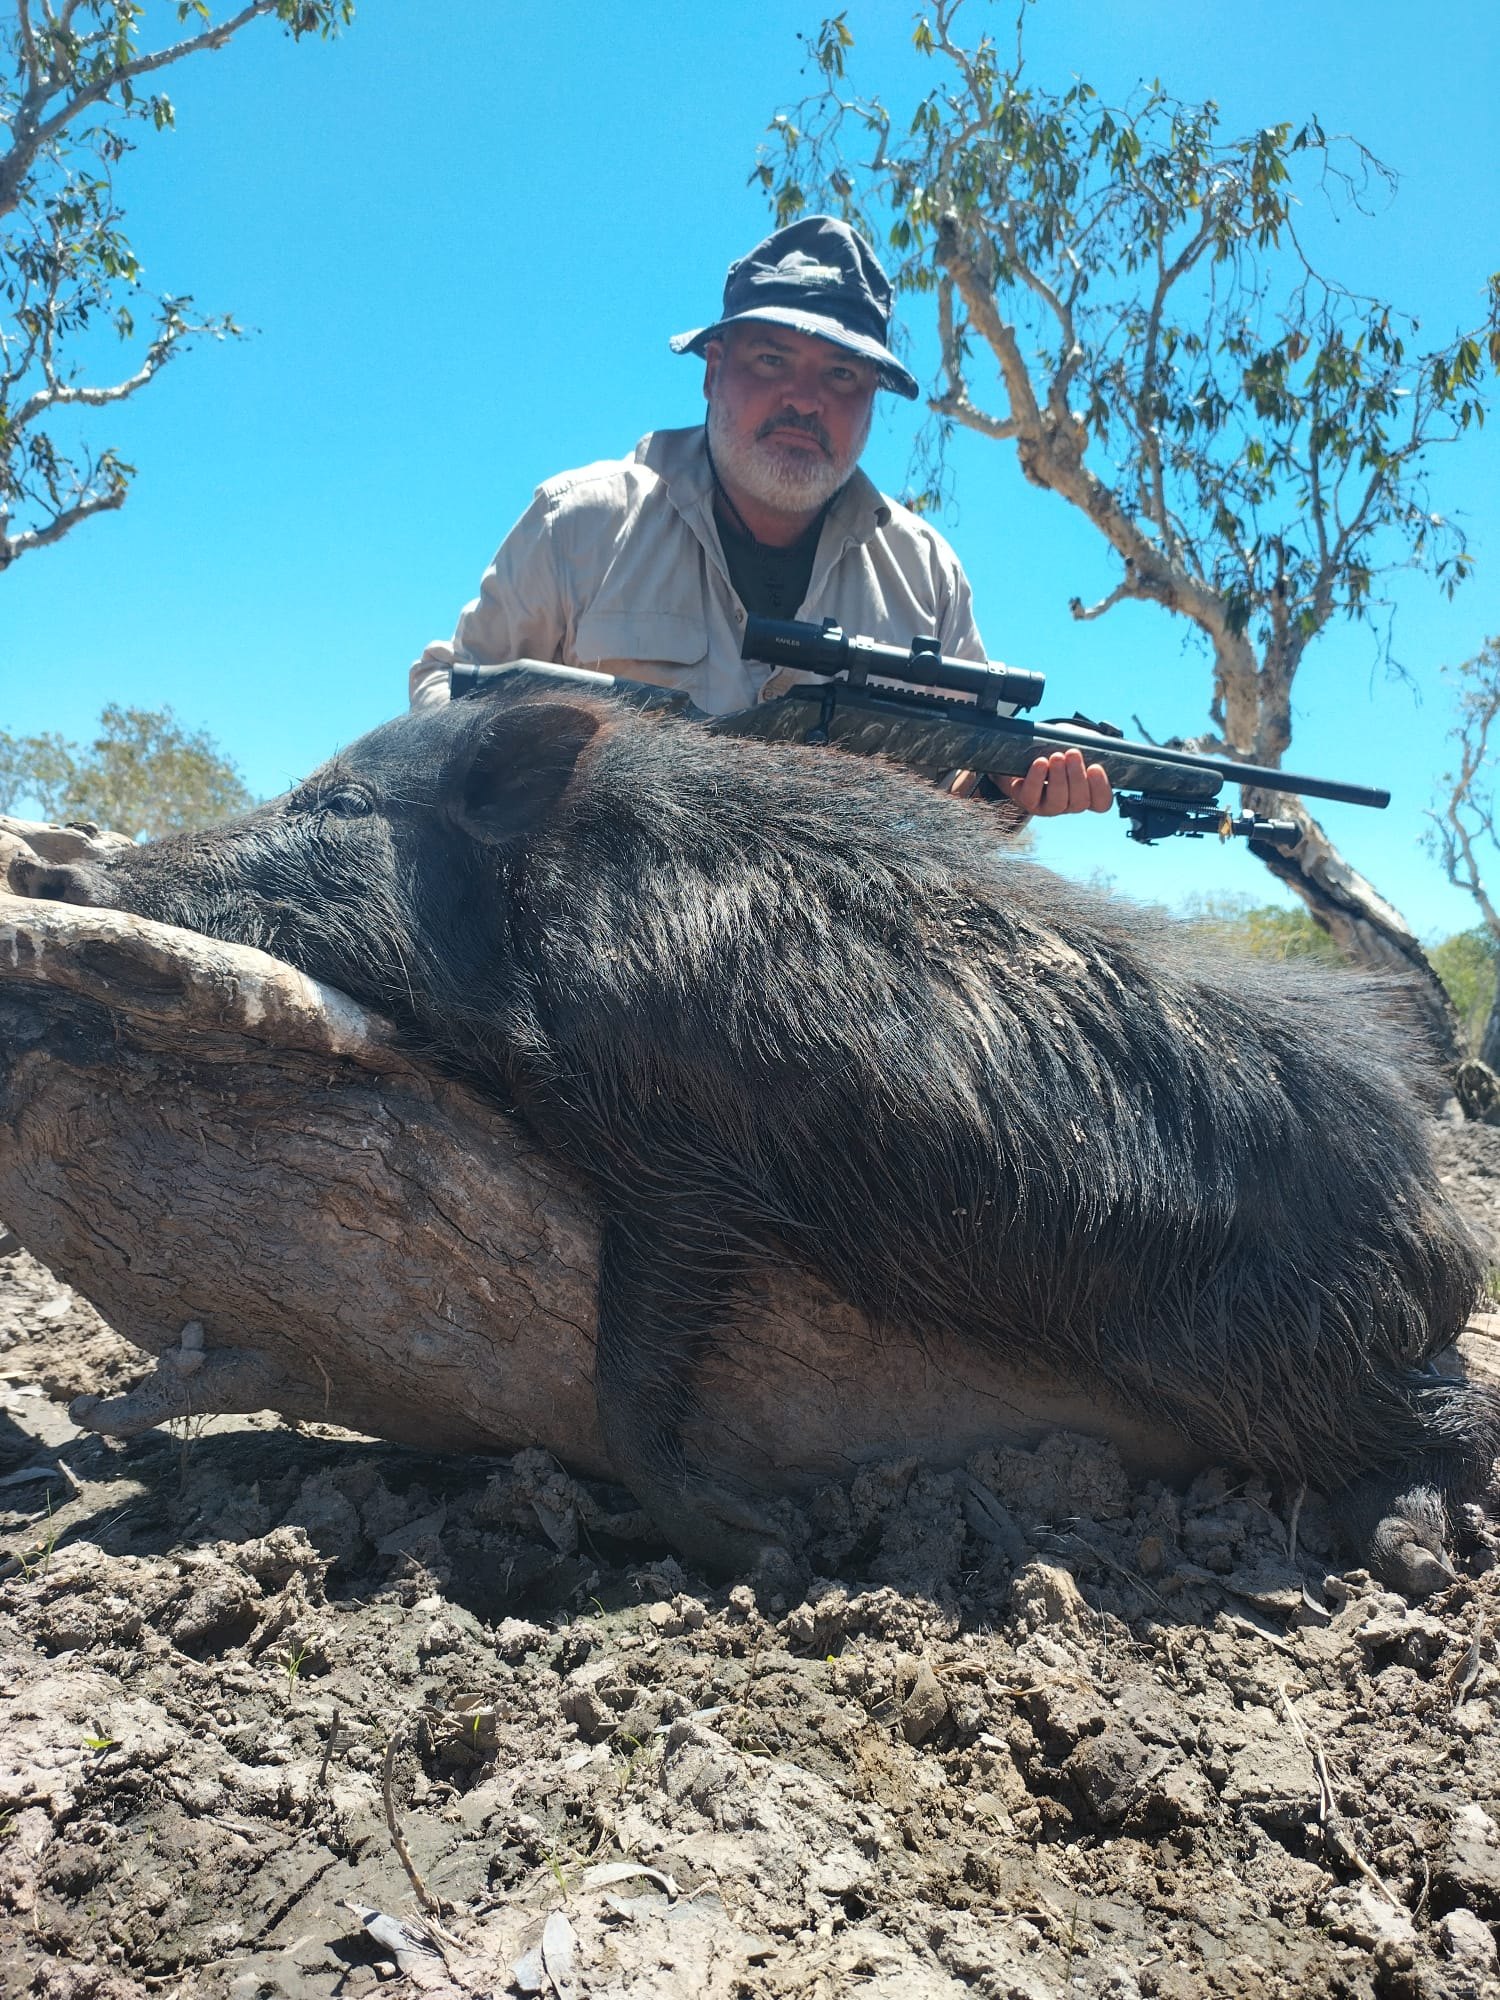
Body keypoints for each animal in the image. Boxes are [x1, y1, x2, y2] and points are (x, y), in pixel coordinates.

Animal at [14, 687, 1495, 1591]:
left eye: (332, 806)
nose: (62, 865)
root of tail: (1437, 1217)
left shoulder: (688, 1157)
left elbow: (632, 1368)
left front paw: (758, 1547)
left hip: (1268, 1353)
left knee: (1453, 1409)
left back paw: (1414, 1550)